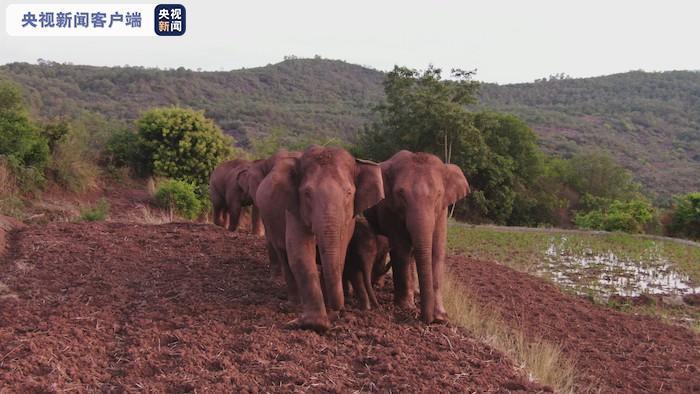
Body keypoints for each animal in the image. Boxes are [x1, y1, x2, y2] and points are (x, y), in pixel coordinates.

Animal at [254, 146, 382, 330]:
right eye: (307, 193)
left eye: (349, 193)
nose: (338, 310)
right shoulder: (294, 210)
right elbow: (300, 254)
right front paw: (316, 324)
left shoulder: (348, 220)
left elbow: (340, 254)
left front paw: (328, 314)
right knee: (284, 255)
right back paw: (293, 304)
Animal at [364, 149, 468, 324]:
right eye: (400, 194)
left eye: (439, 195)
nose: (428, 320)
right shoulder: (390, 209)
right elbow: (401, 249)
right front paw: (406, 307)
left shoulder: (442, 210)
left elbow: (437, 251)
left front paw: (441, 317)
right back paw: (379, 285)